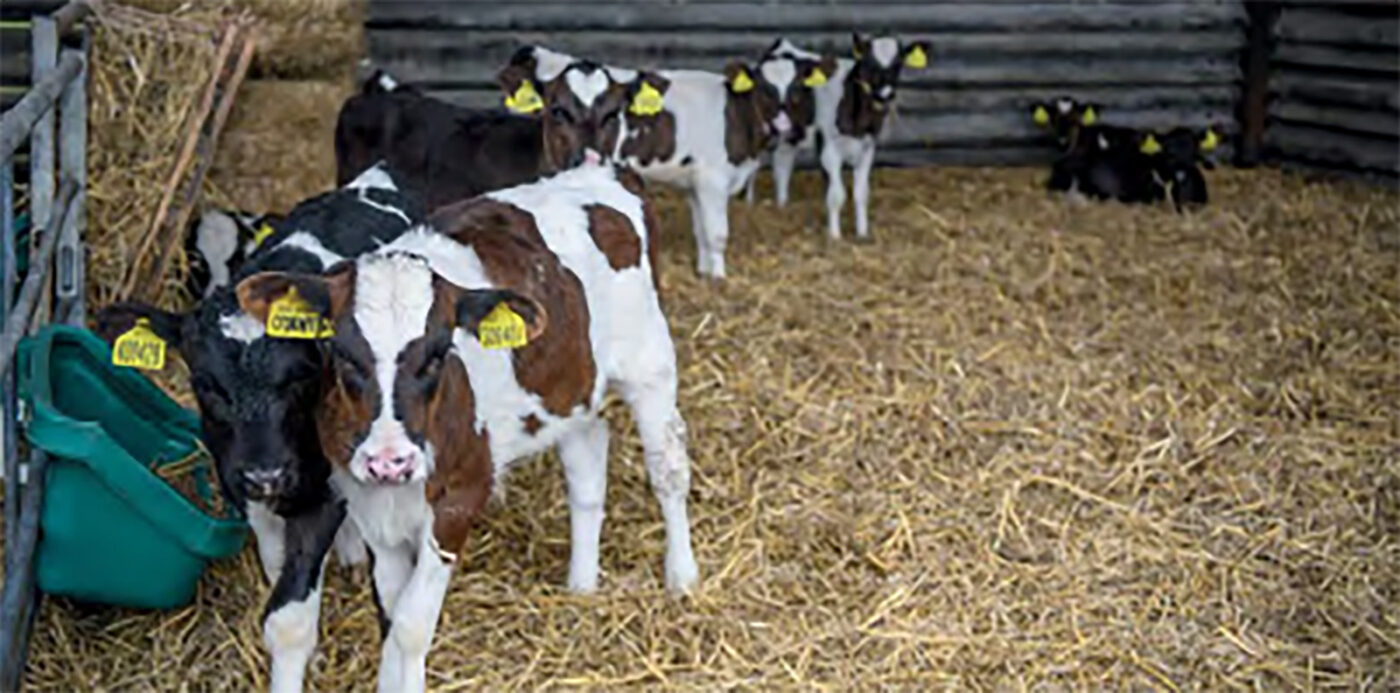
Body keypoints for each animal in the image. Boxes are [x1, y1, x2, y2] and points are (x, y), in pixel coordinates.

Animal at [94, 163, 423, 693]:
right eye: (205, 385)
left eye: (302, 376)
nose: (266, 474)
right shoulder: (240, 484)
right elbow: (275, 575)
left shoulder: (321, 492)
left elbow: (290, 620)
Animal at [233, 163, 699, 692]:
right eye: (342, 353)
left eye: (438, 354)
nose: (390, 461)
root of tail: (606, 170)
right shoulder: (365, 497)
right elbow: (389, 612)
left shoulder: (461, 496)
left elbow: (411, 625)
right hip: (572, 387)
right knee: (588, 463)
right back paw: (582, 584)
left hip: (651, 365)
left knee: (669, 469)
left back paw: (682, 576)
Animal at [501, 46, 831, 278]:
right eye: (765, 89)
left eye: (799, 88)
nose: (785, 125)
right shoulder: (713, 178)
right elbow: (717, 233)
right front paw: (719, 278)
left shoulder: (695, 183)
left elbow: (701, 231)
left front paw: (704, 271)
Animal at [757, 34, 931, 240]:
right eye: (868, 62)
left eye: (898, 64)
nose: (885, 95)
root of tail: (782, 45)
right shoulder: (829, 148)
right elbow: (836, 195)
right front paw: (835, 236)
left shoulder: (867, 148)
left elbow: (861, 194)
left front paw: (862, 233)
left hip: (791, 133)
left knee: (782, 162)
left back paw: (783, 204)